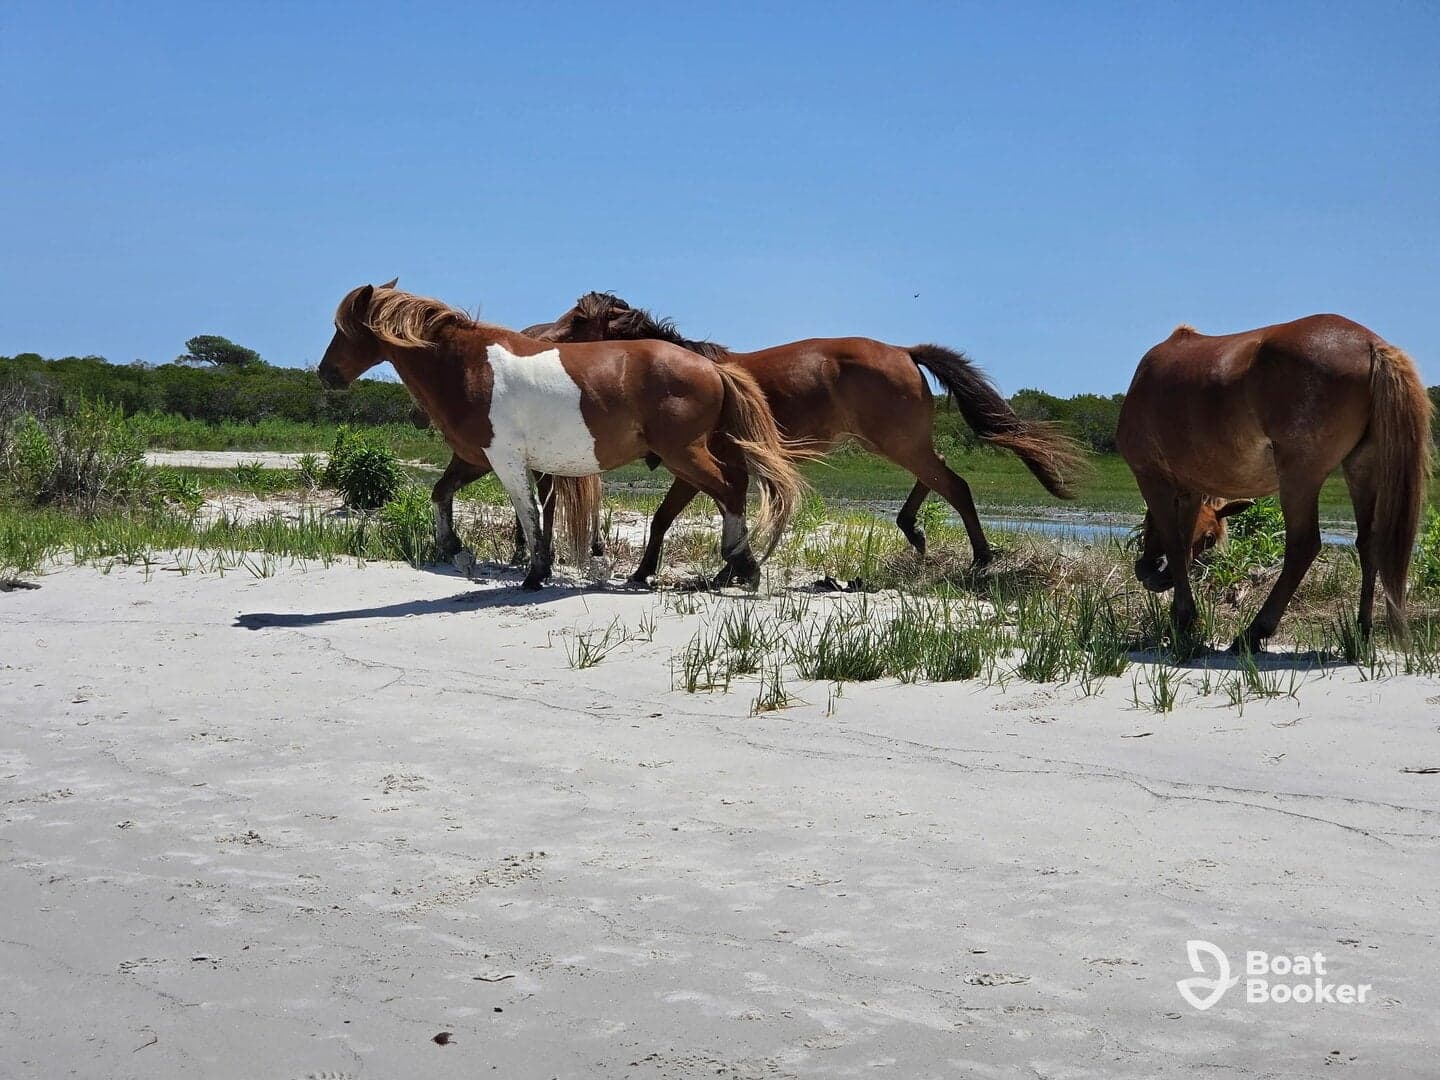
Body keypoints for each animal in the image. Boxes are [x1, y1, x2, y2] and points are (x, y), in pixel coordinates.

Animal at [317, 282, 805, 590]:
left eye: (342, 330)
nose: (326, 374)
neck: (466, 367)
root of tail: (712, 367)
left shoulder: (506, 461)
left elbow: (530, 515)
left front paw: (534, 573)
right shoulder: (476, 459)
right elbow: (441, 493)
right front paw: (456, 549)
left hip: (683, 454)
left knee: (730, 489)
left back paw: (742, 565)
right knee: (730, 489)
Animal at [1117, 315, 1432, 650]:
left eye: (1211, 540)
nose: (1153, 574)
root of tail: (1372, 344)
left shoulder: (1152, 479)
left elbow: (1176, 544)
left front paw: (1182, 621)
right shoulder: (1190, 491)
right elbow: (1183, 543)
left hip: (1299, 477)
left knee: (1303, 546)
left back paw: (1254, 632)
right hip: (1361, 468)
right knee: (1368, 542)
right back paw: (1362, 631)